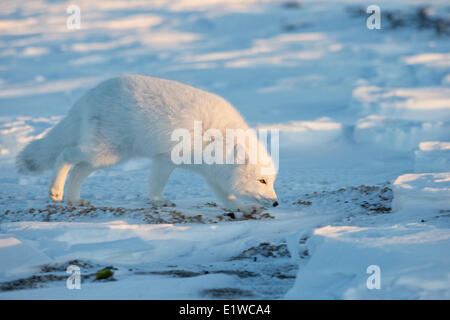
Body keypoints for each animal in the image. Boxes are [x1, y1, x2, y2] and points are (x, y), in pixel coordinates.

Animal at [16, 75, 278, 215]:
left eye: (271, 181)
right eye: (262, 181)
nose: (277, 202)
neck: (218, 140)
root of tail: (89, 95)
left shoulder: (210, 172)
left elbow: (225, 198)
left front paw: (243, 209)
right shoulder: (167, 158)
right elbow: (156, 184)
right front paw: (159, 201)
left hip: (107, 155)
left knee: (78, 169)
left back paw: (73, 200)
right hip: (103, 152)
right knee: (65, 155)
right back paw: (56, 191)